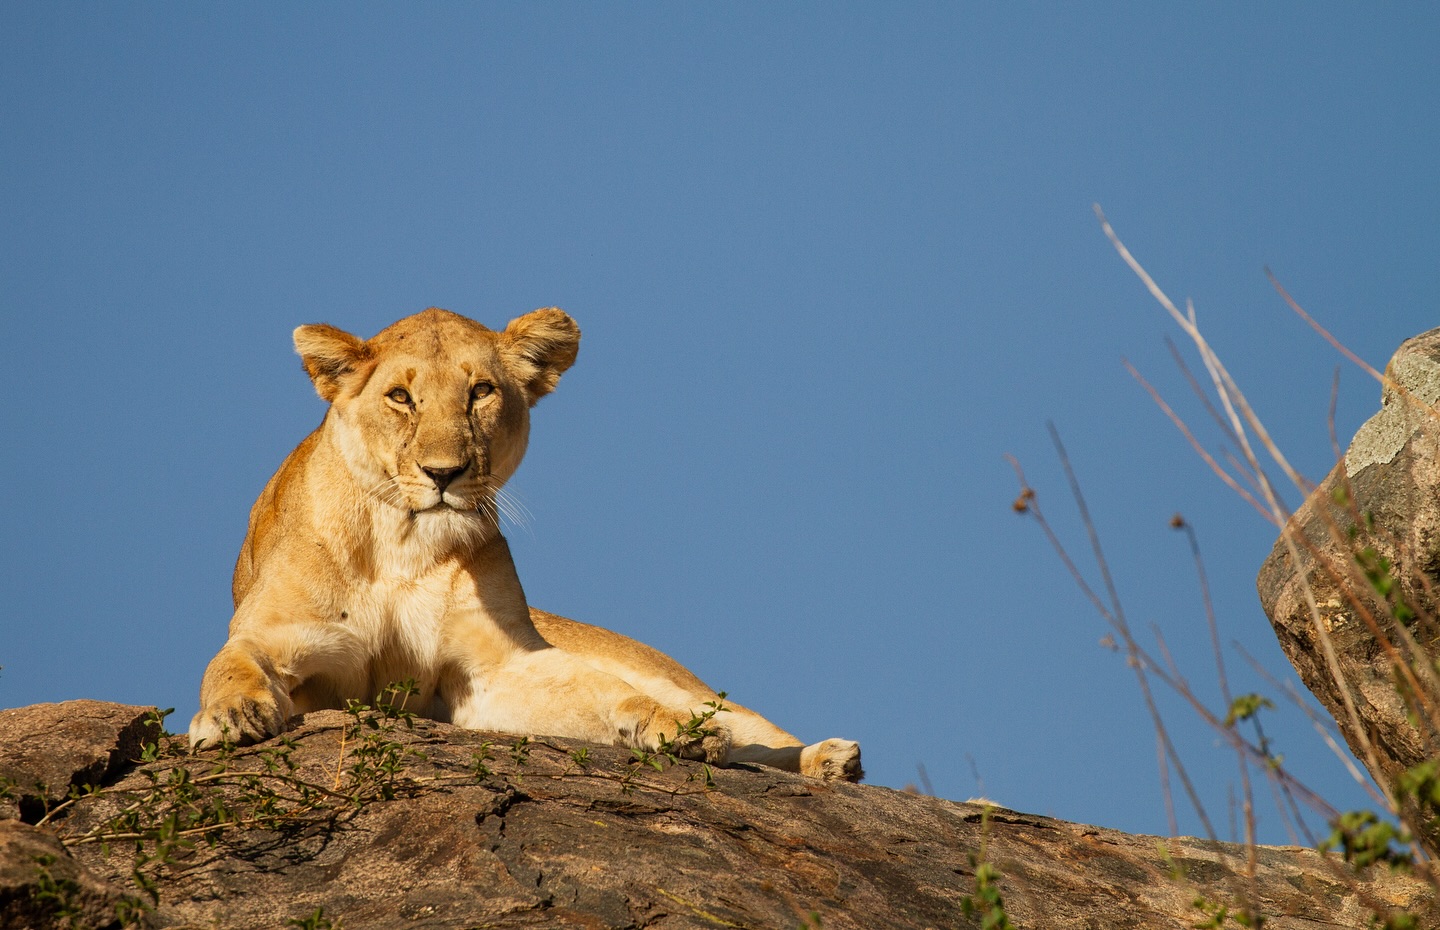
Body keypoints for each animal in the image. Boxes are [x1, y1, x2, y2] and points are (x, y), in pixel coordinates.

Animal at [189, 307, 863, 782]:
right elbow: (231, 662)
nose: (443, 473)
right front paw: (231, 717)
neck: (402, 544)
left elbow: (607, 692)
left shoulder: (496, 668)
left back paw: (829, 759)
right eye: (400, 397)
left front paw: (676, 729)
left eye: (480, 392)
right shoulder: (281, 635)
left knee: (753, 730)